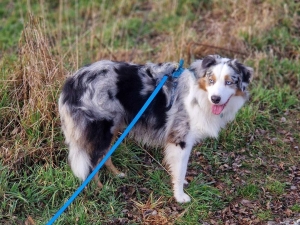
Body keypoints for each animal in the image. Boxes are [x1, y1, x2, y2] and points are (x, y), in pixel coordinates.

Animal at [58, 55, 253, 203]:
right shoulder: (180, 139)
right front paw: (180, 196)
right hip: (103, 129)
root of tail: (72, 83)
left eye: (229, 82)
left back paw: (117, 174)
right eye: (211, 80)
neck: (199, 95)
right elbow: (180, 170)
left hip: (114, 126)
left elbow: (178, 169)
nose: (215, 99)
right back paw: (100, 189)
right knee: (92, 163)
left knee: (104, 157)